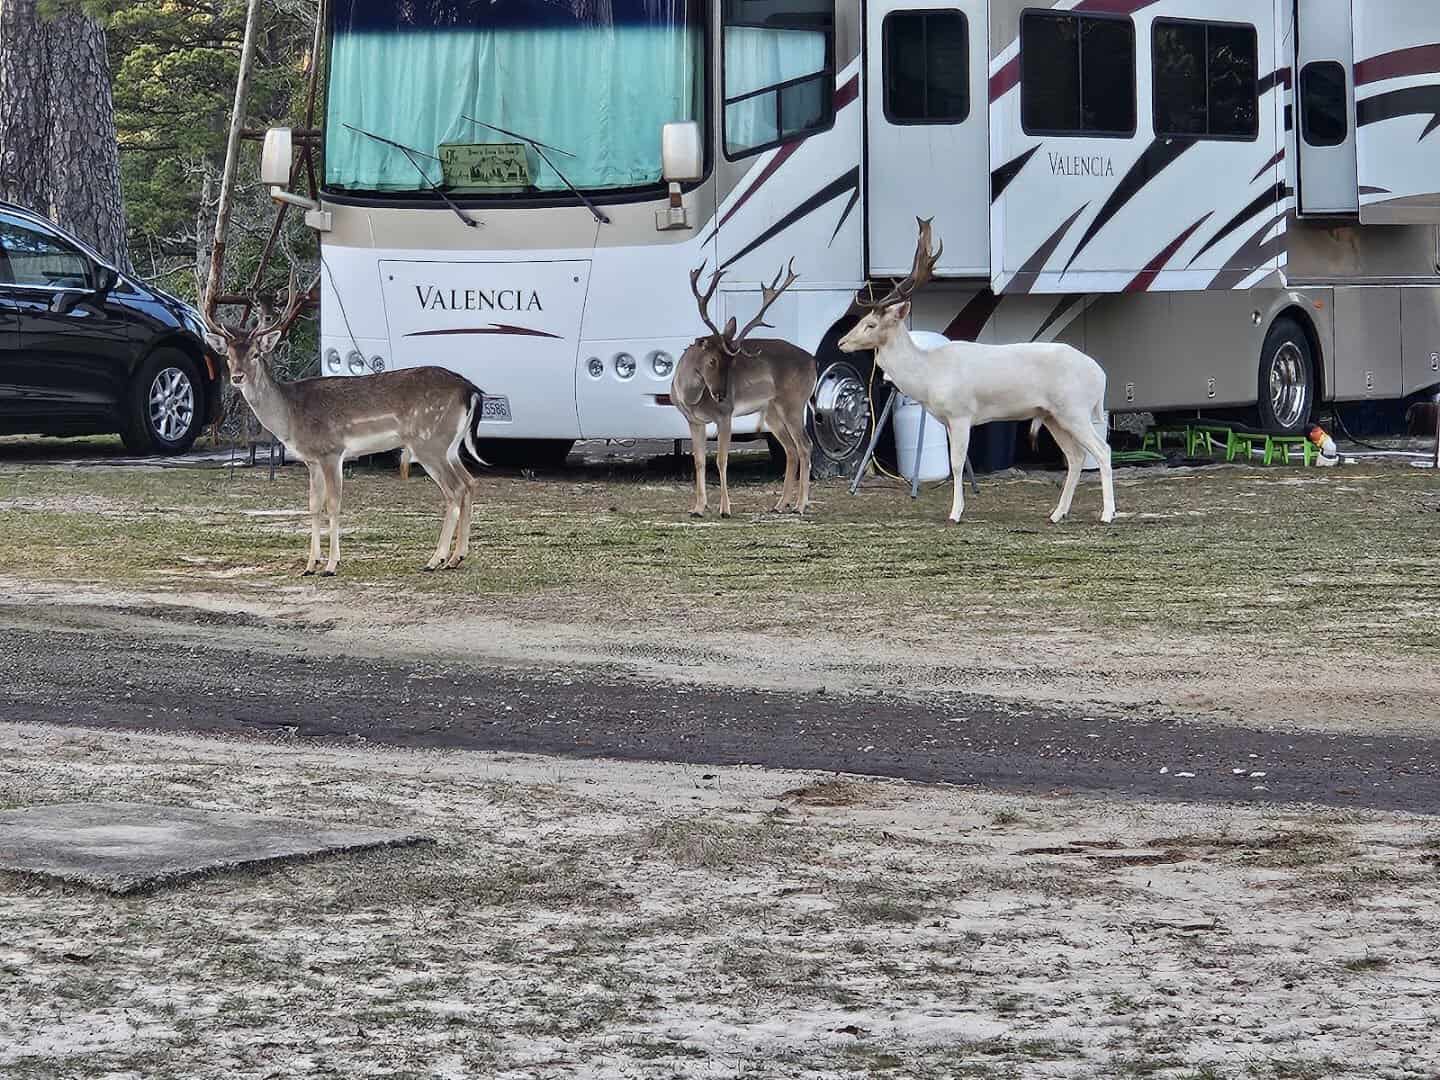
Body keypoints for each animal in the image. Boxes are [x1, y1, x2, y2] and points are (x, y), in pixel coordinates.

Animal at [203, 272, 491, 575]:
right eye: (228, 355)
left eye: (256, 354)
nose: (237, 376)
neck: (291, 416)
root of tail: (470, 390)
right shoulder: (311, 459)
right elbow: (313, 505)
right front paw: (310, 565)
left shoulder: (332, 450)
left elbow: (333, 504)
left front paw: (331, 564)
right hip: (450, 445)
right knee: (469, 483)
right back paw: (457, 556)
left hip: (429, 441)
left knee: (454, 490)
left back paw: (436, 559)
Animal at [672, 259, 818, 517]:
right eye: (712, 360)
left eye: (732, 363)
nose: (721, 394)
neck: (690, 395)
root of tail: (814, 361)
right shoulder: (694, 420)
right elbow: (699, 461)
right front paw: (698, 508)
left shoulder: (725, 415)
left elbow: (721, 460)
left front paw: (725, 509)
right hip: (772, 412)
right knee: (790, 449)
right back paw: (780, 504)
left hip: (794, 402)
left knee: (805, 445)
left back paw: (800, 505)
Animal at [839, 218, 1116, 526]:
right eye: (864, 319)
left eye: (871, 324)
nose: (841, 342)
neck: (929, 375)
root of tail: (1101, 375)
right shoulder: (947, 419)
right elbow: (954, 463)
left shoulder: (961, 414)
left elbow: (957, 463)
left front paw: (955, 512)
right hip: (1052, 415)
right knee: (1076, 456)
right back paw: (1057, 513)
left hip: (1075, 409)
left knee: (1102, 450)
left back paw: (1107, 514)